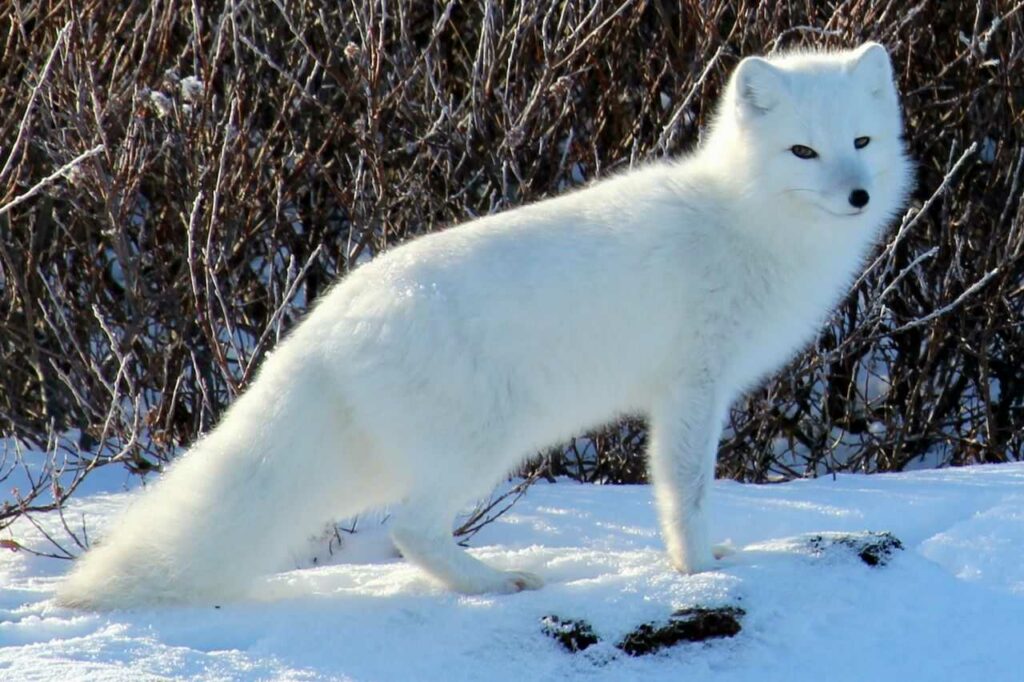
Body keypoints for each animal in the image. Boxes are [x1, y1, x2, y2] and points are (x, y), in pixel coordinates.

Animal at [56, 42, 913, 606]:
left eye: (861, 142)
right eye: (802, 152)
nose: (859, 196)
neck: (744, 219)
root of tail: (323, 322)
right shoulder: (690, 390)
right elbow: (686, 490)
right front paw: (699, 569)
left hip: (376, 461)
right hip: (485, 443)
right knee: (411, 530)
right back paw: (496, 582)